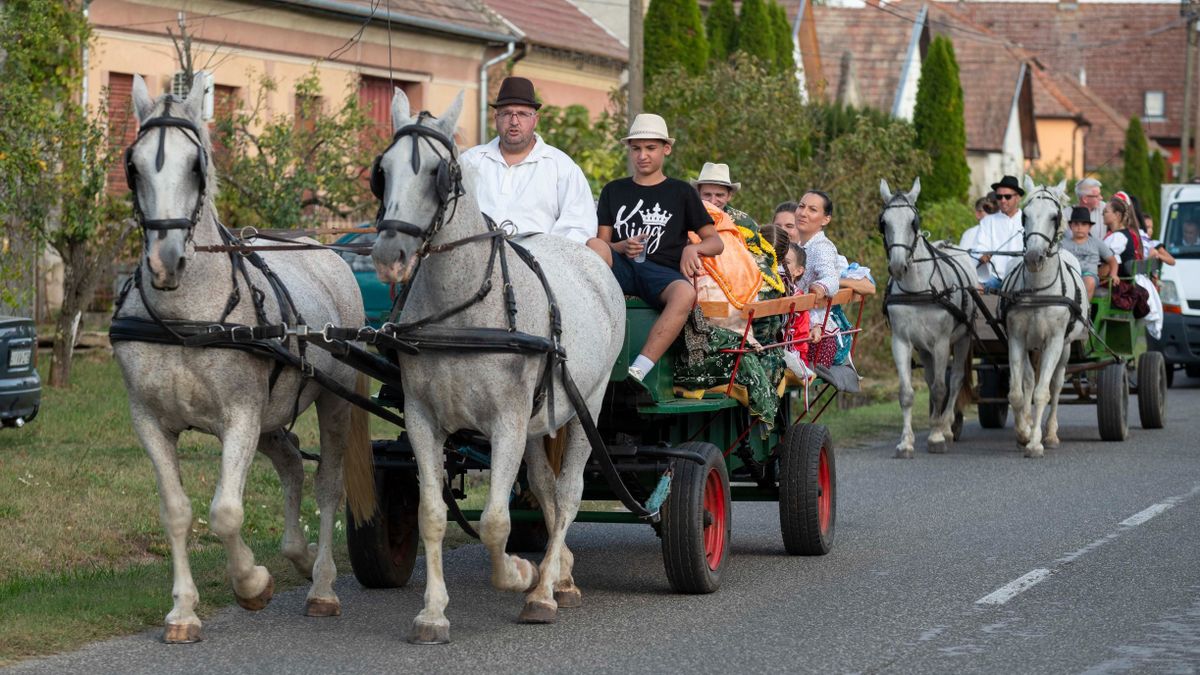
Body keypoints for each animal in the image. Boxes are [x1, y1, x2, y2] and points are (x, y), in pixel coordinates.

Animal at [112, 74, 367, 638]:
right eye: (133, 165)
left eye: (196, 164)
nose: (165, 261)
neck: (187, 316)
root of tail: (324, 250)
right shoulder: (148, 420)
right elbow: (177, 512)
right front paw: (183, 612)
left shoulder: (241, 416)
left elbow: (226, 512)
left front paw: (251, 583)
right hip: (274, 416)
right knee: (292, 464)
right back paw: (298, 556)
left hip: (332, 404)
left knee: (328, 486)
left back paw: (321, 585)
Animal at [350, 89, 624, 638]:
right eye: (382, 171)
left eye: (439, 173)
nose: (389, 255)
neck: (461, 312)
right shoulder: (423, 419)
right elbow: (432, 514)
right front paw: (433, 614)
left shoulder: (506, 423)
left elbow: (497, 521)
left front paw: (521, 575)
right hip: (540, 419)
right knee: (545, 487)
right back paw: (560, 574)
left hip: (588, 402)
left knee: (569, 491)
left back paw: (543, 590)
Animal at [883, 177, 974, 456]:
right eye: (884, 222)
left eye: (914, 222)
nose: (898, 266)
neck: (918, 289)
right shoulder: (900, 341)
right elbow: (907, 392)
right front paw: (906, 442)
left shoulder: (942, 342)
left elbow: (940, 388)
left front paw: (936, 436)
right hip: (924, 348)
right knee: (931, 376)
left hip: (963, 339)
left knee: (954, 380)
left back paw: (946, 426)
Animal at [998, 176, 1094, 454]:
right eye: (1025, 215)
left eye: (1054, 216)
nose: (1033, 257)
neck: (1038, 291)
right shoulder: (1016, 339)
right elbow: (1017, 392)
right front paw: (1023, 433)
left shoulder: (1054, 341)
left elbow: (1044, 392)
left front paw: (1035, 443)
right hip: (1032, 346)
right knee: (1030, 381)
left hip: (1065, 347)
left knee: (1056, 384)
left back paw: (1050, 433)